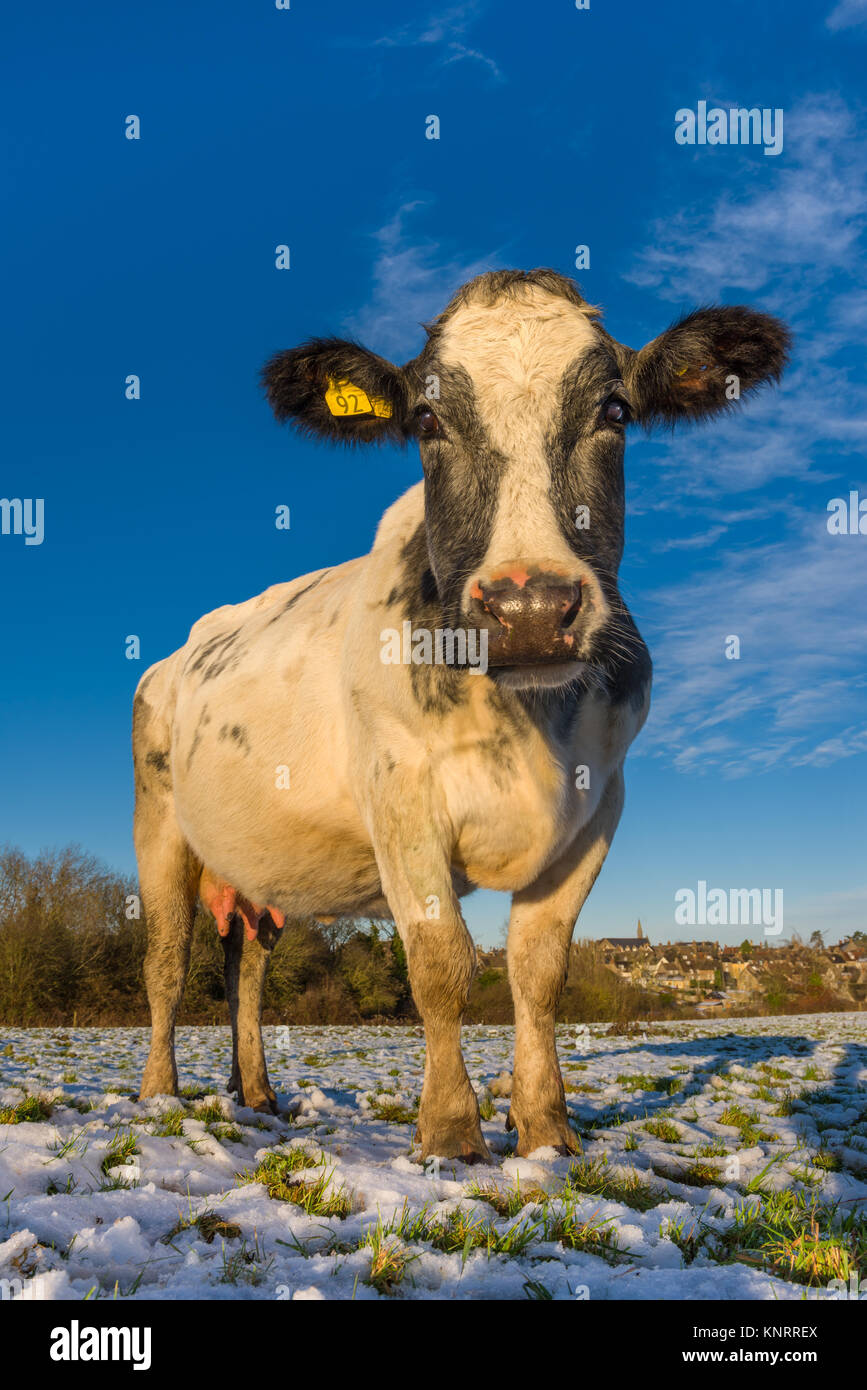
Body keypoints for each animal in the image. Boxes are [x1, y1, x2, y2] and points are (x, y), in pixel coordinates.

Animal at [131, 265, 789, 1156]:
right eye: (426, 419)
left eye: (614, 411)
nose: (530, 608)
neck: (524, 719)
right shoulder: (400, 798)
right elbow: (442, 964)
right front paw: (449, 1133)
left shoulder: (598, 806)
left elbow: (538, 971)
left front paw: (545, 1133)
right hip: (160, 823)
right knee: (167, 964)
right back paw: (158, 1096)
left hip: (259, 870)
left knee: (248, 967)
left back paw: (257, 1094)